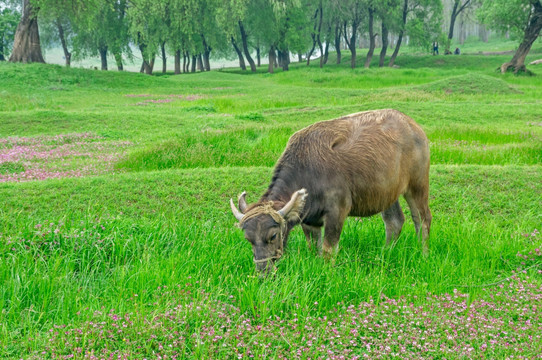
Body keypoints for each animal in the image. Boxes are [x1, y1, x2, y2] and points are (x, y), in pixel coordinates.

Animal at [231, 109, 434, 272]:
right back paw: (385, 254)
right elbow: (314, 248)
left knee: (422, 219)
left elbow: (328, 250)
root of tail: (414, 128)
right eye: (248, 239)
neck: (308, 172)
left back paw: (423, 254)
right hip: (388, 193)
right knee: (394, 221)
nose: (263, 271)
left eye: (272, 235)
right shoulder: (309, 220)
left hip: (417, 185)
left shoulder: (337, 213)